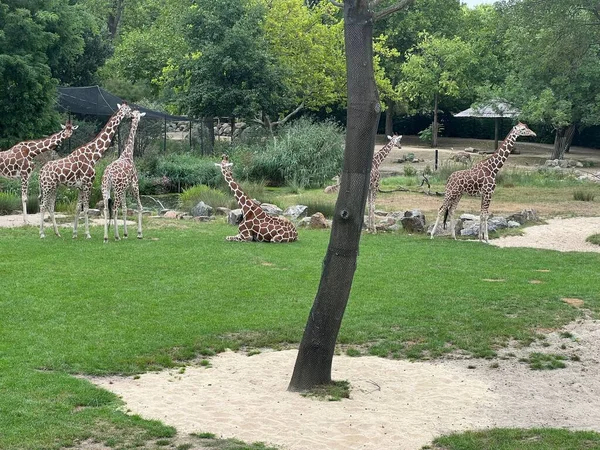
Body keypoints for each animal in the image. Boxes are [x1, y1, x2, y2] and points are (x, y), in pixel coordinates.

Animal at [39, 103, 134, 239]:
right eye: (128, 110)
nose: (132, 116)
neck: (93, 155)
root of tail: (41, 171)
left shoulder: (80, 186)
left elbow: (78, 207)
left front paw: (74, 233)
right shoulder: (88, 183)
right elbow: (87, 208)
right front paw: (88, 234)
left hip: (53, 187)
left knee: (50, 206)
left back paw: (57, 233)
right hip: (47, 186)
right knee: (42, 206)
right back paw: (42, 233)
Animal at [101, 109, 146, 243]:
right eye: (138, 116)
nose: (138, 119)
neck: (128, 154)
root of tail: (109, 175)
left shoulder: (125, 190)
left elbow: (125, 208)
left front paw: (126, 233)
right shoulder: (134, 185)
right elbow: (139, 207)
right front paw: (139, 233)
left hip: (105, 188)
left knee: (106, 209)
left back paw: (106, 237)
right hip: (117, 189)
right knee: (115, 209)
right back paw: (116, 236)